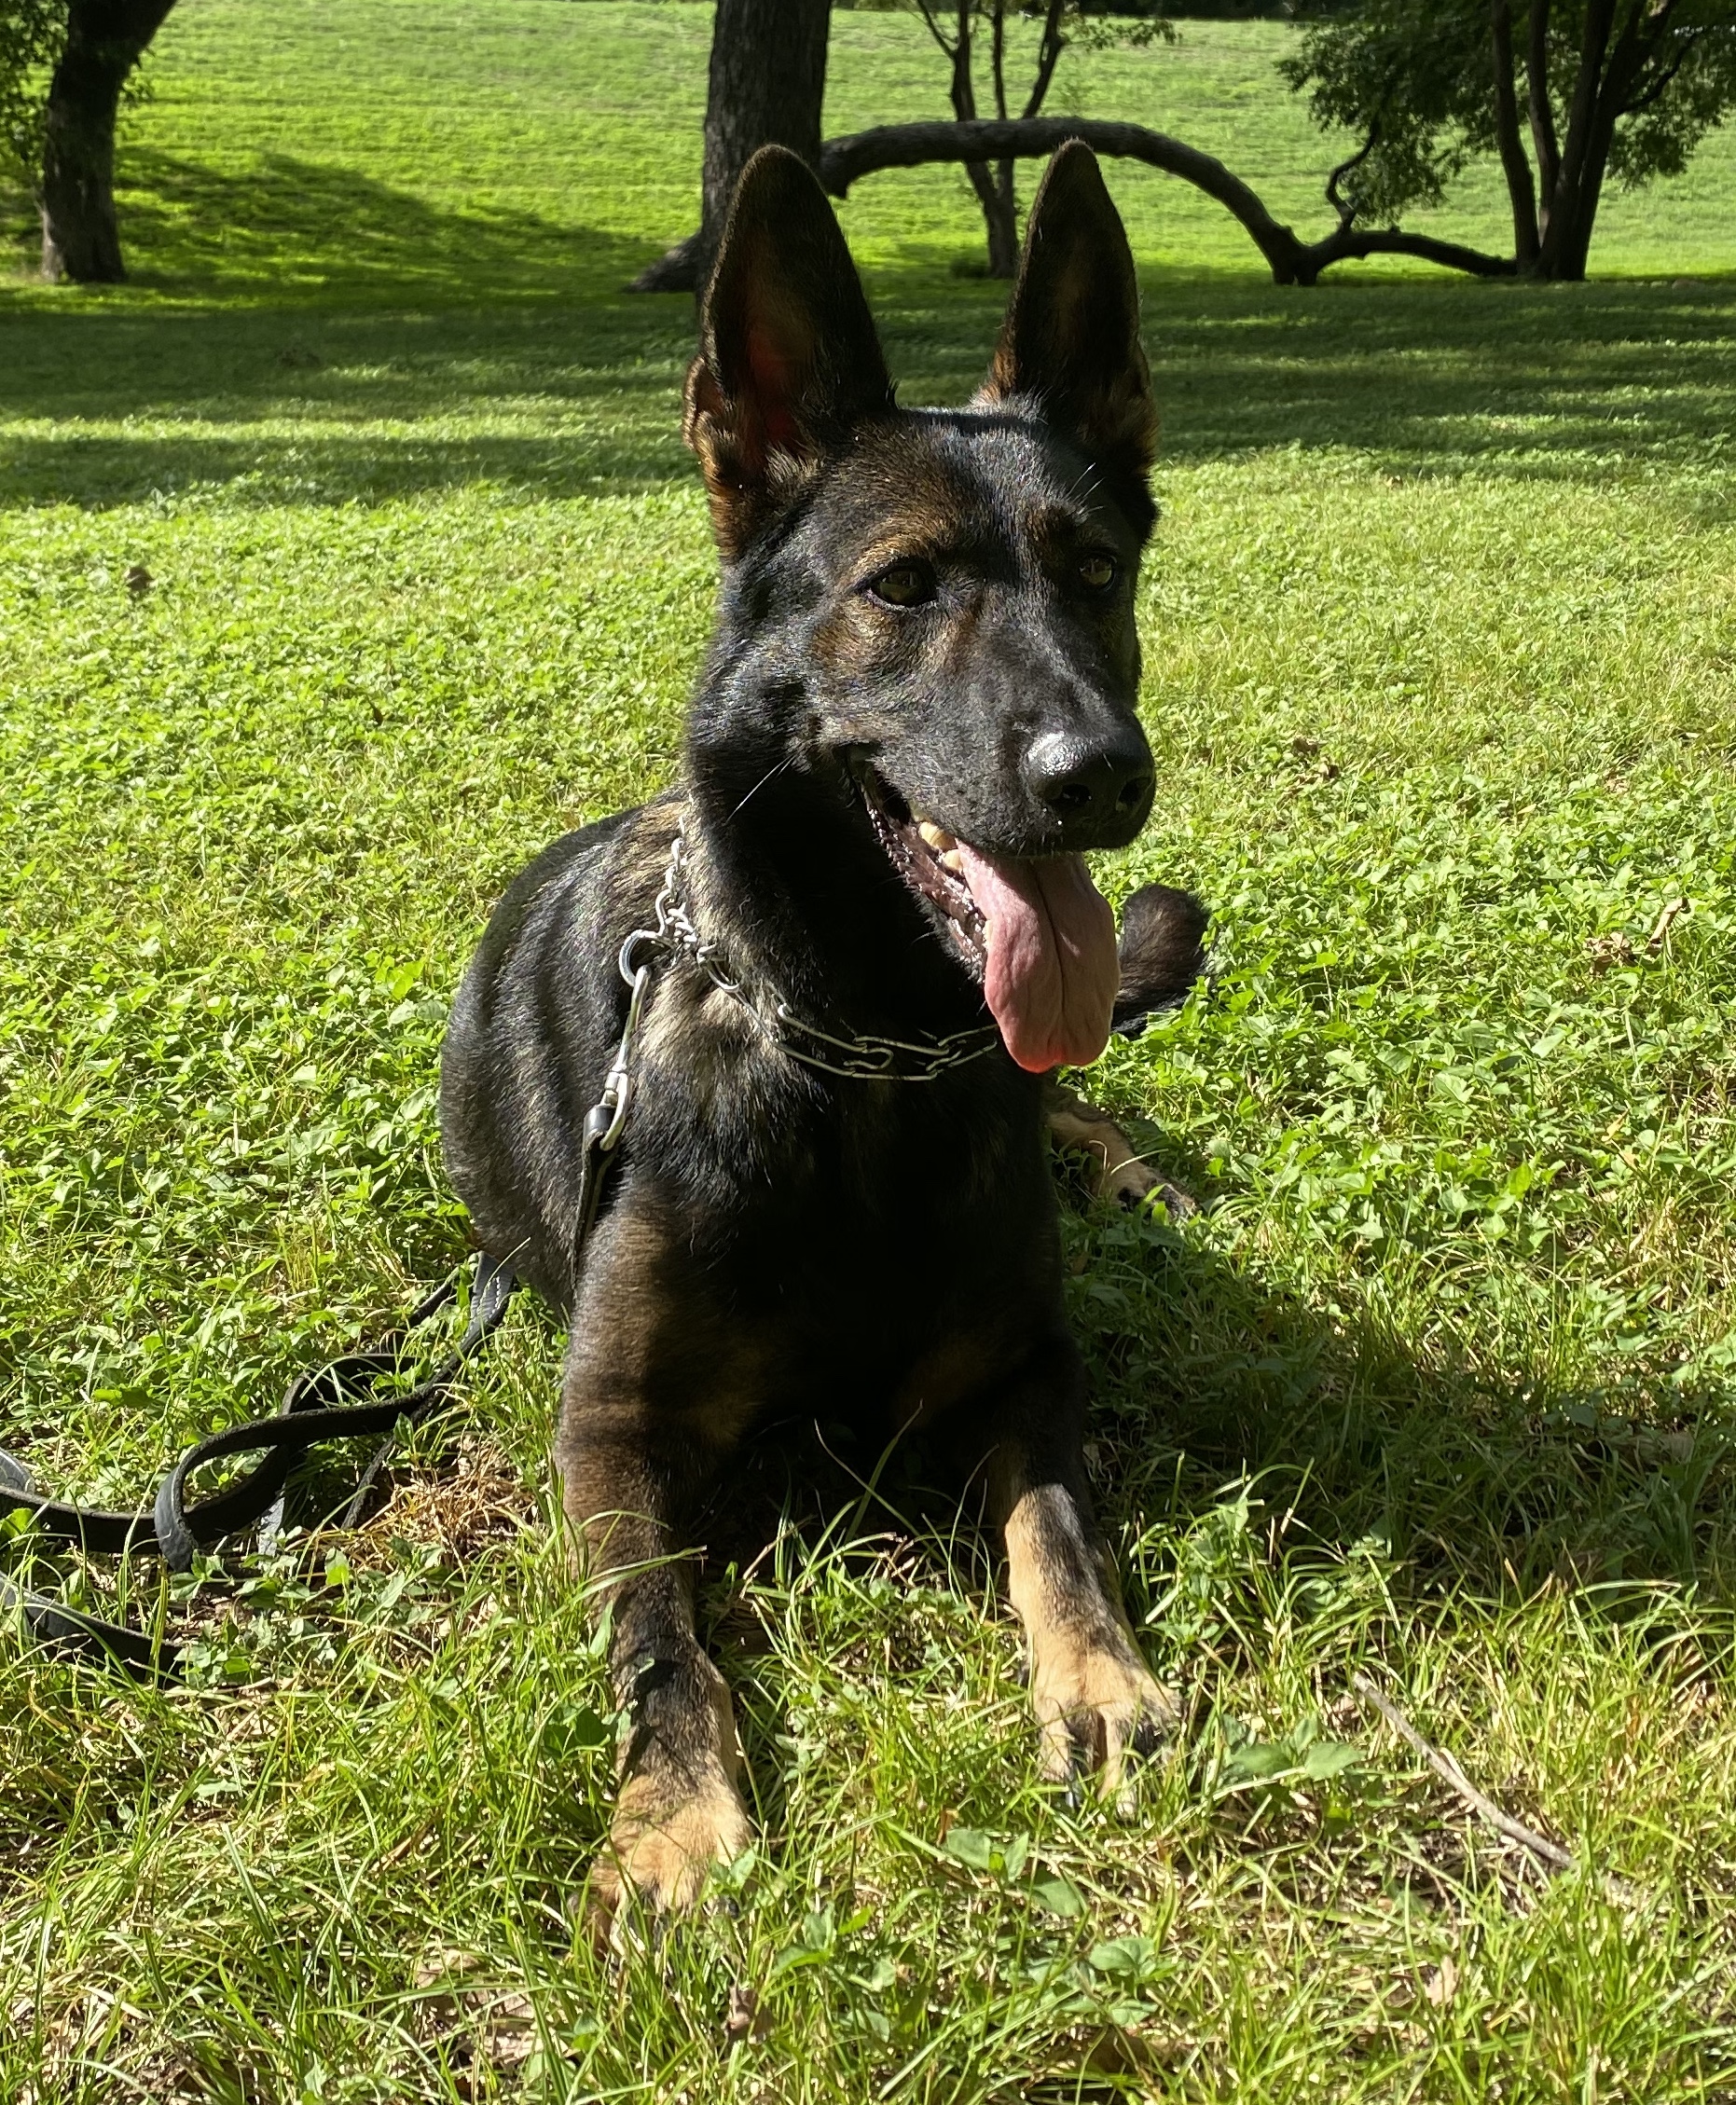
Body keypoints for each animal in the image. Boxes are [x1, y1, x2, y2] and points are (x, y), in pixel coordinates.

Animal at [439, 144, 1203, 1928]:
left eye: (1096, 568)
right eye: (903, 585)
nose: (1101, 775)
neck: (855, 1052)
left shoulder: (1027, 1364)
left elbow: (1059, 1529)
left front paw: (1098, 1674)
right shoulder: (609, 1428)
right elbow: (662, 1640)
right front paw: (672, 1813)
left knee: (1082, 1101)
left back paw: (1131, 1171)